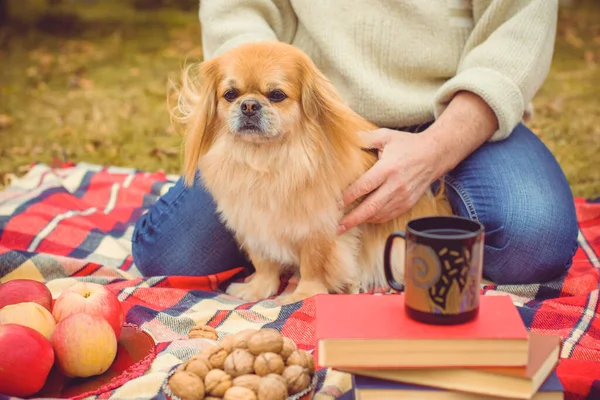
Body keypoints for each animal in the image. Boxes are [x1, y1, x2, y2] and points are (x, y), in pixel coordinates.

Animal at [172, 41, 450, 304]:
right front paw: (258, 289)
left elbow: (314, 266)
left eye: (276, 95)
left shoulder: (319, 228)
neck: (265, 160)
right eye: (230, 94)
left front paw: (304, 295)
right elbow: (264, 263)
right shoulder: (254, 223)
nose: (249, 105)